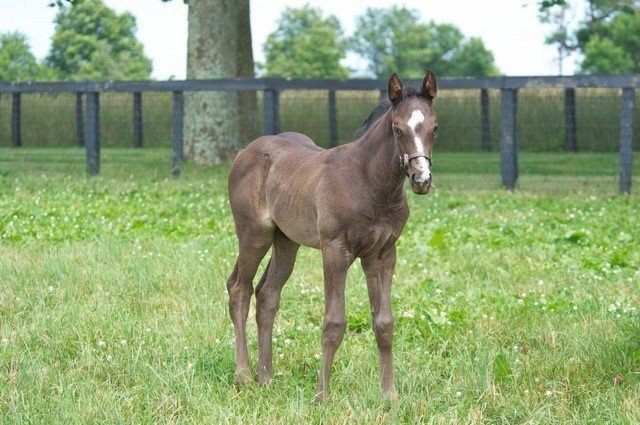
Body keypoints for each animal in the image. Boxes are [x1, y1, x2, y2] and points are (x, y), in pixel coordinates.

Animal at [226, 71, 440, 400]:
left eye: (434, 127)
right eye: (397, 129)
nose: (421, 179)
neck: (371, 184)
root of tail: (244, 153)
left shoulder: (382, 254)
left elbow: (384, 323)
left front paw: (389, 396)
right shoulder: (335, 250)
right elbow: (334, 323)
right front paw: (321, 396)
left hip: (286, 241)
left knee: (267, 295)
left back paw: (267, 378)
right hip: (254, 234)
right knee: (239, 289)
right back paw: (244, 377)